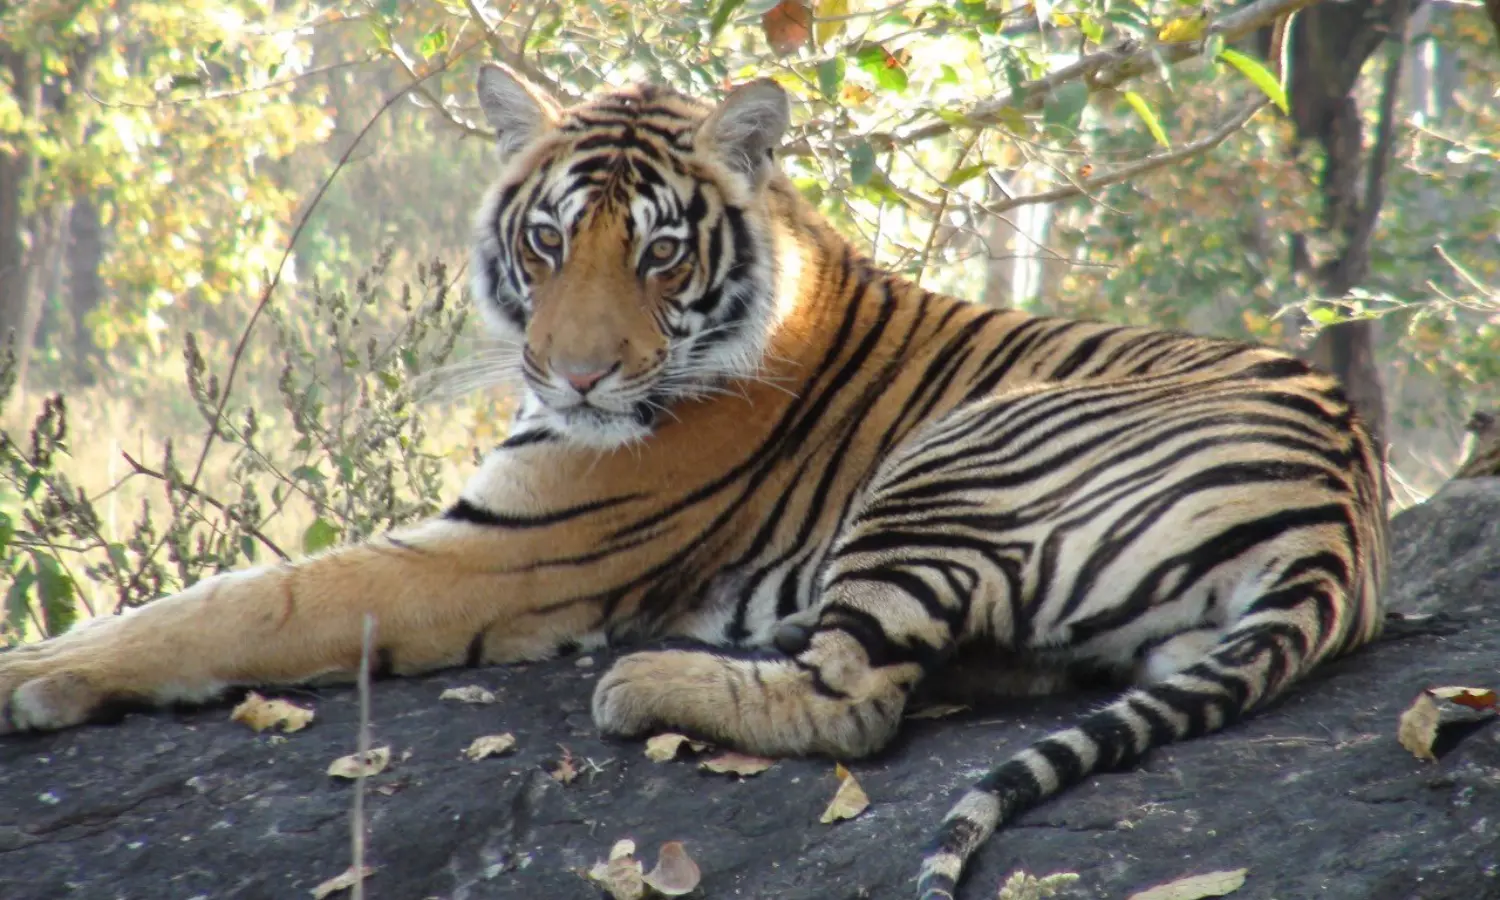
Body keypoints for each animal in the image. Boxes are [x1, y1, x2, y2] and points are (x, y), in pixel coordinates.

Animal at [0, 66, 1387, 899]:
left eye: (660, 255)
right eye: (547, 242)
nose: (575, 374)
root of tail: (1343, 519)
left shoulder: (496, 550)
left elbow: (250, 601)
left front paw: (34, 671)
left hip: (956, 460)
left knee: (855, 703)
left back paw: (643, 684)